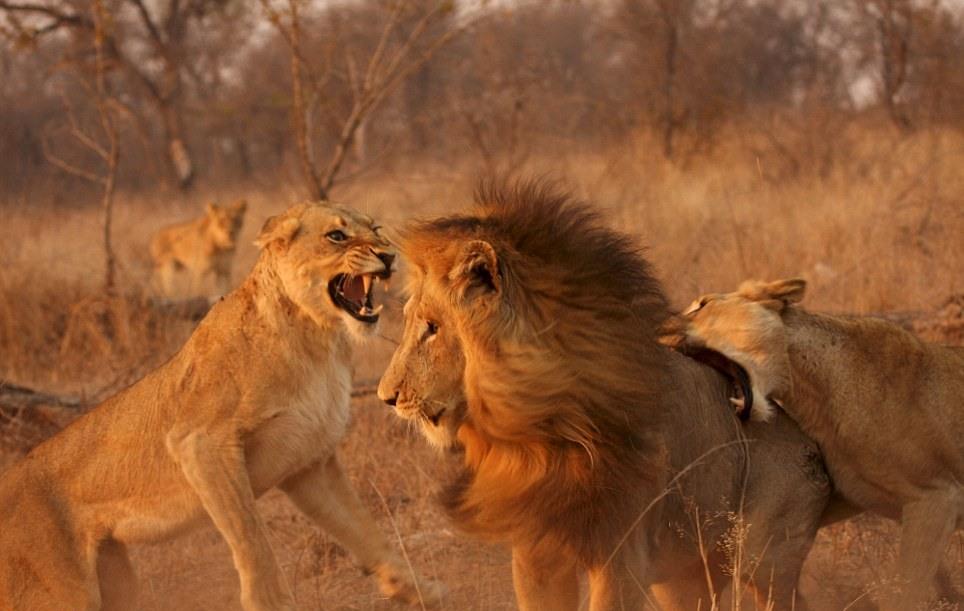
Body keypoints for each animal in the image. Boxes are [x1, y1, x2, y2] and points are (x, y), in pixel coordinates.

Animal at [0, 202, 442, 611]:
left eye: (377, 229)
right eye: (336, 236)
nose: (389, 256)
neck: (317, 340)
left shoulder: (309, 463)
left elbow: (366, 532)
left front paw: (420, 591)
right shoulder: (200, 443)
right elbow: (251, 536)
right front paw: (271, 602)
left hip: (118, 581)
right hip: (61, 593)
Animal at [377, 181, 835, 610]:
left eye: (432, 328)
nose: (387, 397)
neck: (548, 429)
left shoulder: (622, 554)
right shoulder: (535, 553)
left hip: (765, 559)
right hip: (685, 578)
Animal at [673, 277, 964, 610]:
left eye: (702, 305)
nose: (664, 331)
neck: (815, 392)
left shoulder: (936, 498)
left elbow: (905, 592)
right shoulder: (832, 490)